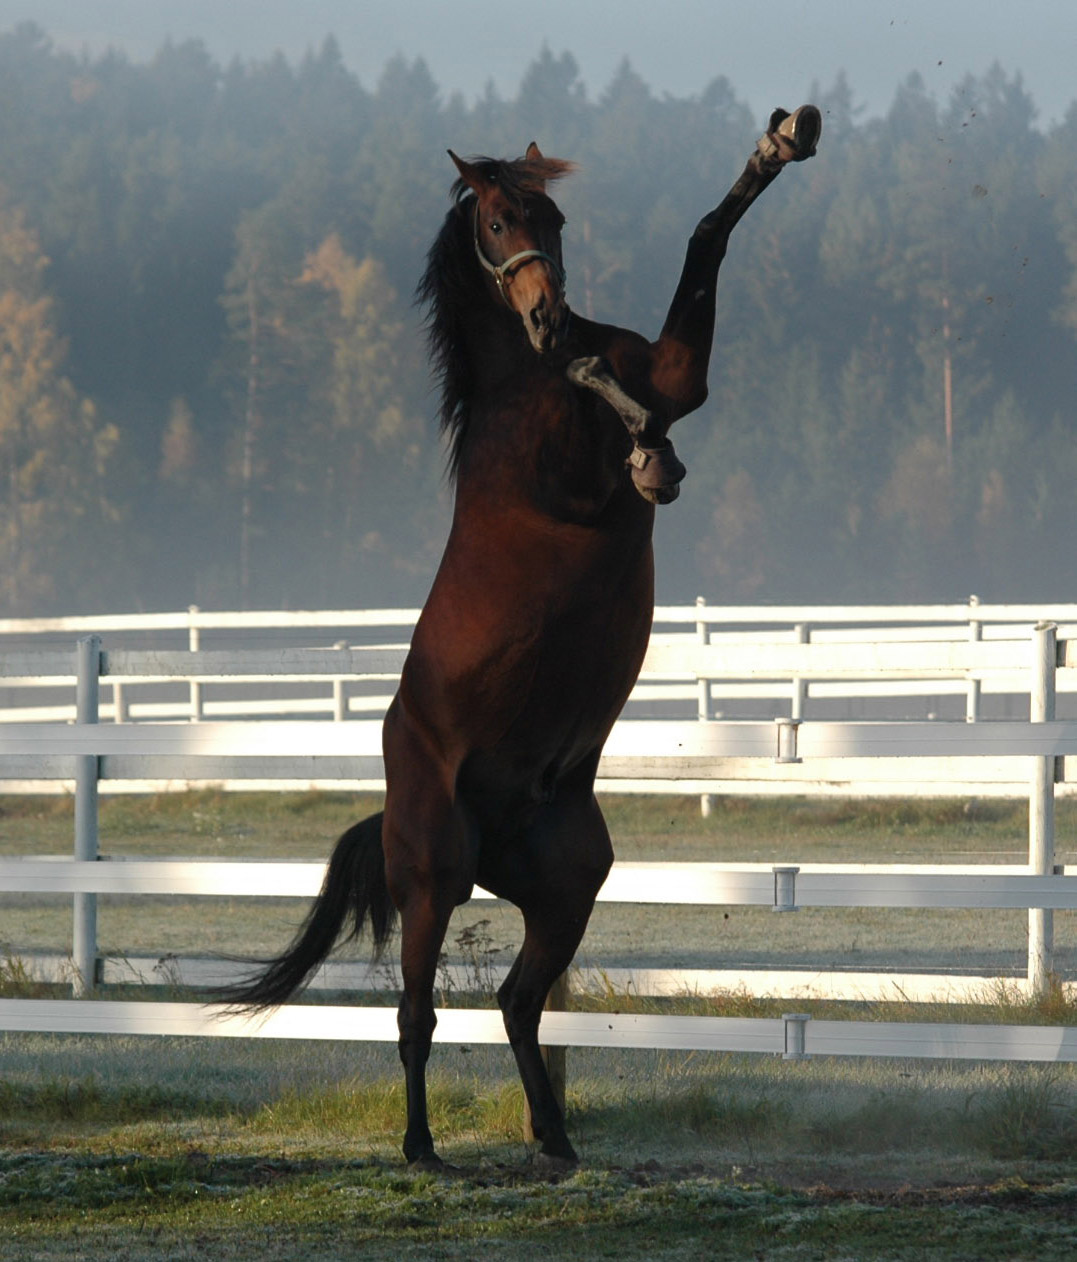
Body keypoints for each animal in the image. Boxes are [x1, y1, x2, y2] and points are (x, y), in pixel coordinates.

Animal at [222, 106, 818, 1171]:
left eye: (553, 217)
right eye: (494, 223)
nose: (545, 314)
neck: (518, 384)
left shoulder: (675, 371)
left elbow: (705, 243)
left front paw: (779, 145)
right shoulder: (573, 478)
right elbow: (615, 395)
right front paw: (648, 451)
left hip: (567, 883)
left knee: (515, 1003)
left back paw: (556, 1139)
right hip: (432, 877)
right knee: (416, 1015)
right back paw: (421, 1148)